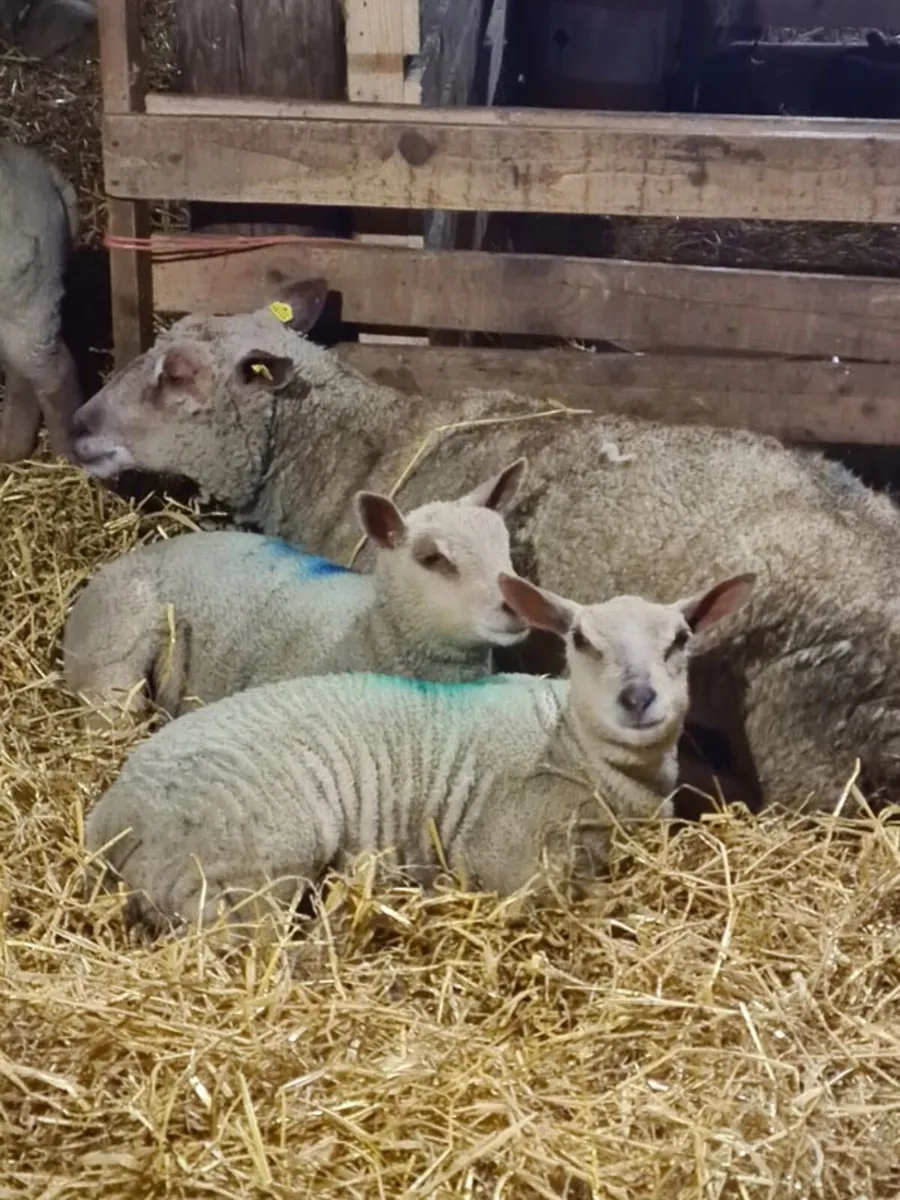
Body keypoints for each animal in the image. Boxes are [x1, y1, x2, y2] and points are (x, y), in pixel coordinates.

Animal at [83, 571, 755, 934]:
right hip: (244, 865)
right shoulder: (503, 854)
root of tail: (109, 817)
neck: (574, 743)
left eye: (680, 639)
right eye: (581, 641)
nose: (638, 698)